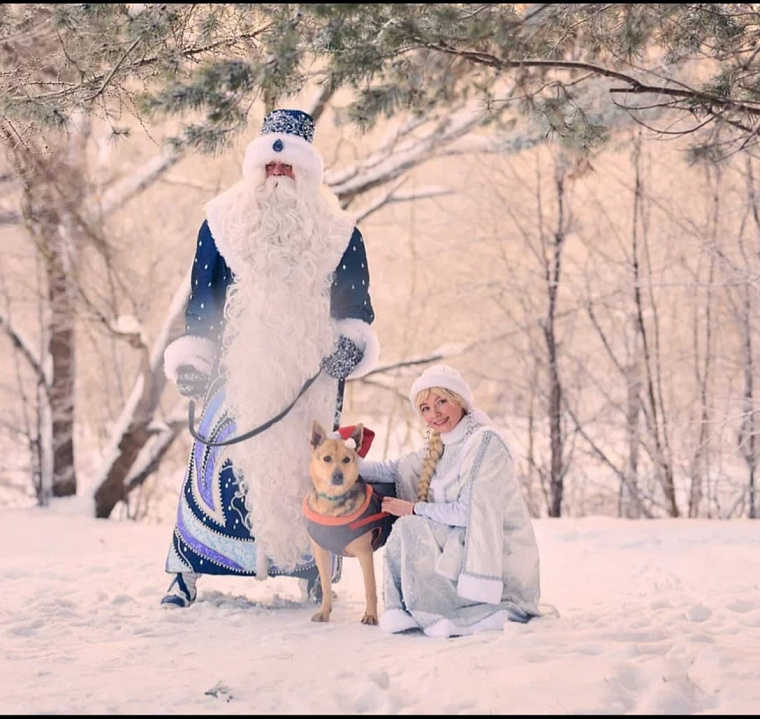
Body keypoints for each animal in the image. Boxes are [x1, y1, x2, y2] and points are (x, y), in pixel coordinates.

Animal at [302, 422, 394, 624]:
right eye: (327, 458)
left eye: (346, 460)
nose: (338, 476)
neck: (332, 502)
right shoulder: (321, 552)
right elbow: (326, 586)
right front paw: (325, 612)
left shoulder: (365, 553)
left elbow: (370, 588)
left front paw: (370, 615)